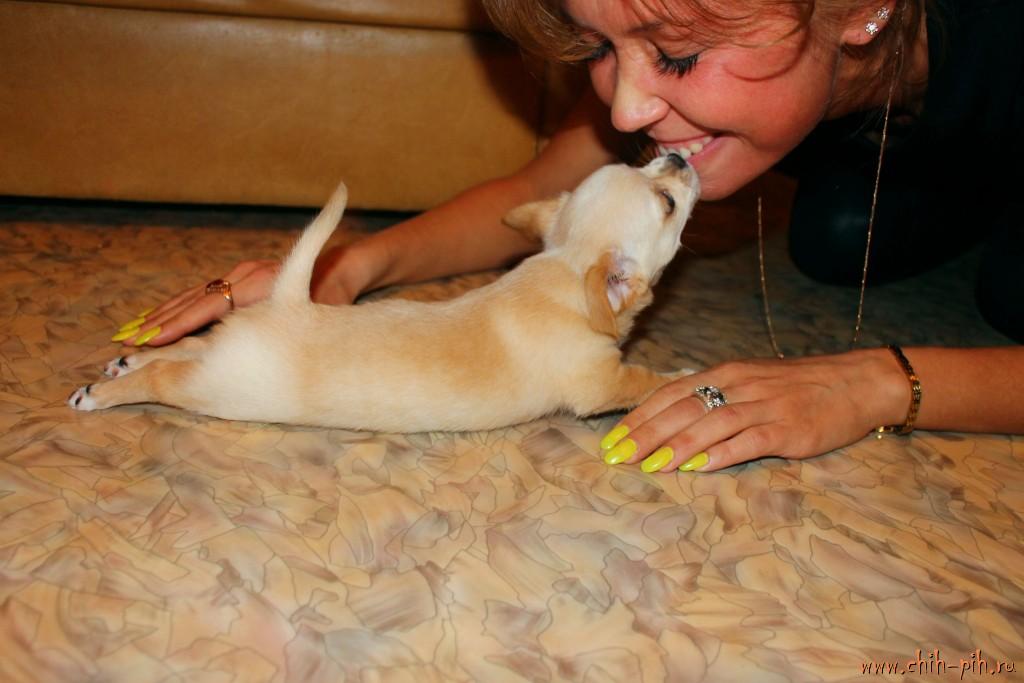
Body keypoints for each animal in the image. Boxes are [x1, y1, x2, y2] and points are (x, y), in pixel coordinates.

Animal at [68, 154, 699, 432]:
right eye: (667, 201)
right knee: (166, 380)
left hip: (223, 349)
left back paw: (127, 360)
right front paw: (683, 377)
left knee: (185, 346)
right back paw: (101, 394)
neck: (565, 268)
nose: (679, 153)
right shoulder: (601, 381)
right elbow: (643, 379)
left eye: (647, 160)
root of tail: (290, 303)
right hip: (220, 387)